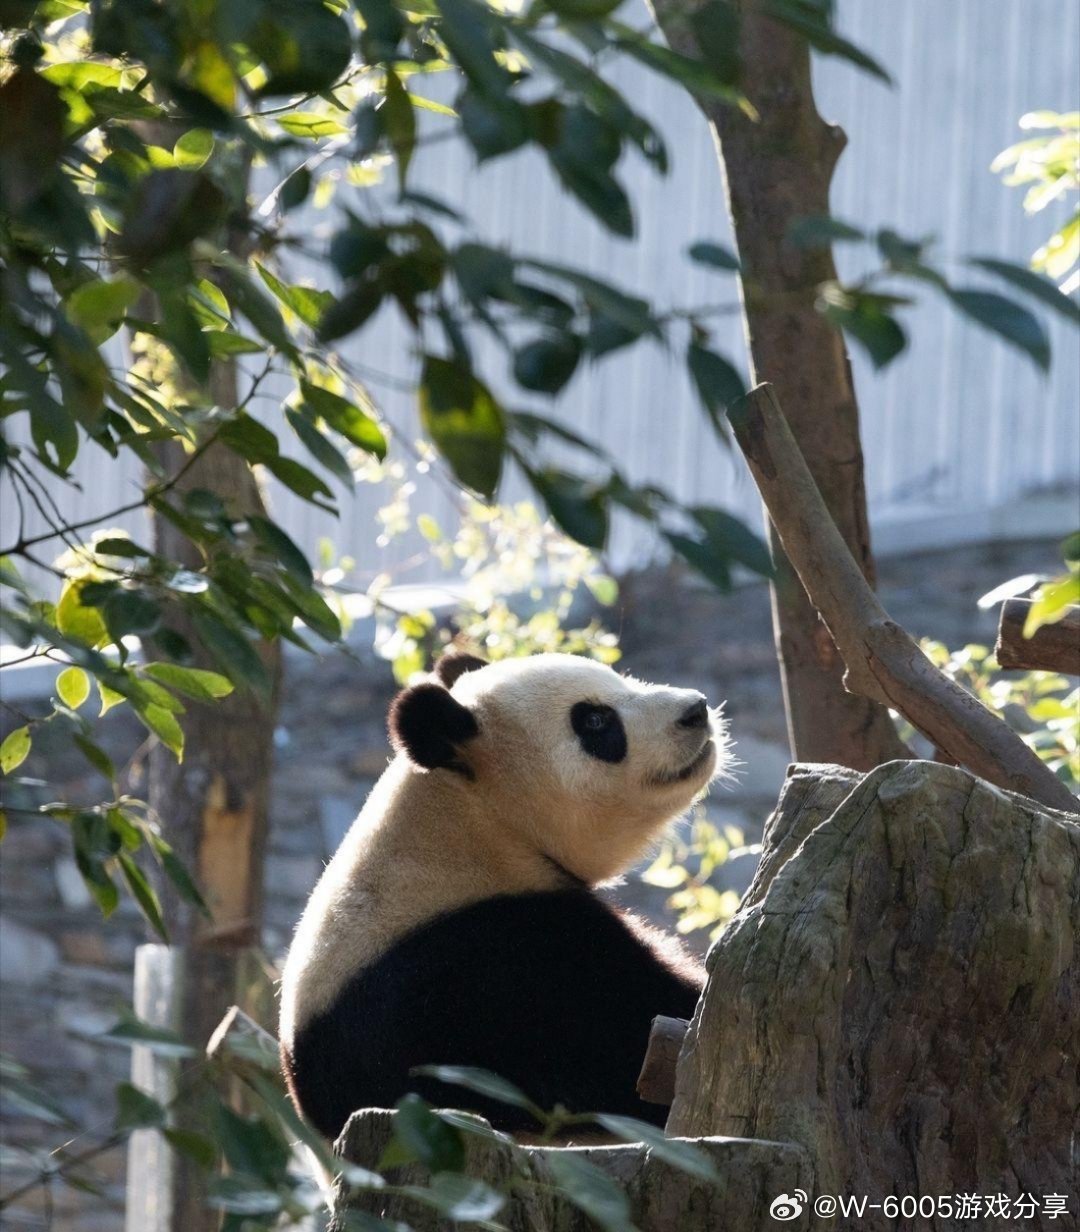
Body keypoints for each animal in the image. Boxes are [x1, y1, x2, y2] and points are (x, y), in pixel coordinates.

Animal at [282, 650, 729, 1138]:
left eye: (621, 679)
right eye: (595, 721)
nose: (695, 710)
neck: (469, 823)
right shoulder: (492, 966)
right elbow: (627, 1032)